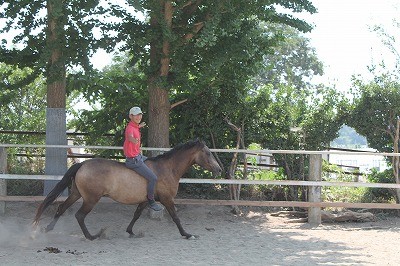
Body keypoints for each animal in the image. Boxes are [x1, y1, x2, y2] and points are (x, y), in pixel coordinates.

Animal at [33, 140, 222, 240]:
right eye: (207, 153)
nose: (219, 169)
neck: (167, 168)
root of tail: (82, 164)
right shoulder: (167, 199)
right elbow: (175, 217)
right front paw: (187, 234)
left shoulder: (146, 200)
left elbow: (136, 215)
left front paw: (130, 231)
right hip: (91, 199)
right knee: (79, 215)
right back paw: (92, 236)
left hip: (76, 194)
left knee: (61, 208)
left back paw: (47, 229)